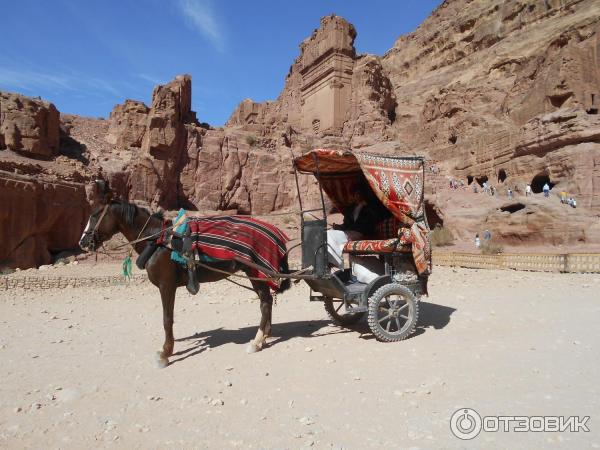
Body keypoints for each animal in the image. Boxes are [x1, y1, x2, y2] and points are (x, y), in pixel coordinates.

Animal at [78, 186, 290, 366]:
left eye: (95, 214)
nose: (83, 242)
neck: (158, 240)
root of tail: (275, 232)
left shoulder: (166, 285)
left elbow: (167, 319)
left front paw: (165, 352)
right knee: (266, 301)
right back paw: (265, 336)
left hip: (256, 273)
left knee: (265, 302)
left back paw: (257, 341)